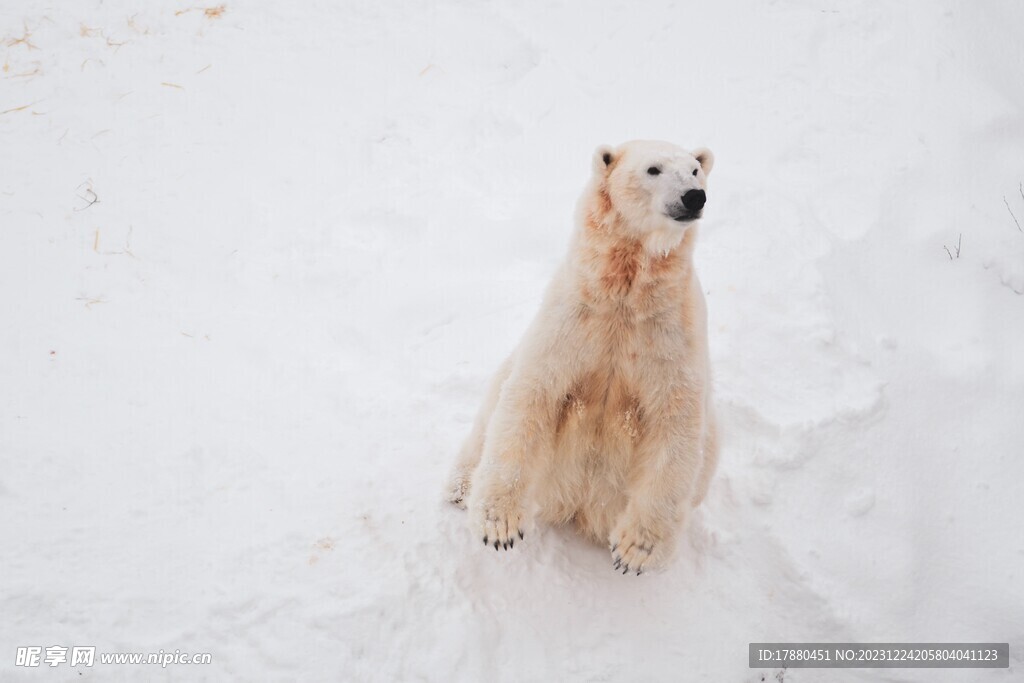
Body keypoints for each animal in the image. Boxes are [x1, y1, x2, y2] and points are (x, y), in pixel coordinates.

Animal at [448, 140, 720, 577]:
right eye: (653, 169)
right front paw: (499, 526)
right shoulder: (572, 320)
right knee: (493, 401)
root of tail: (579, 507)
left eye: (696, 170)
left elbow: (675, 424)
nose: (694, 197)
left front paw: (635, 551)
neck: (624, 292)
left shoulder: (671, 335)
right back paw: (461, 488)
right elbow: (530, 395)